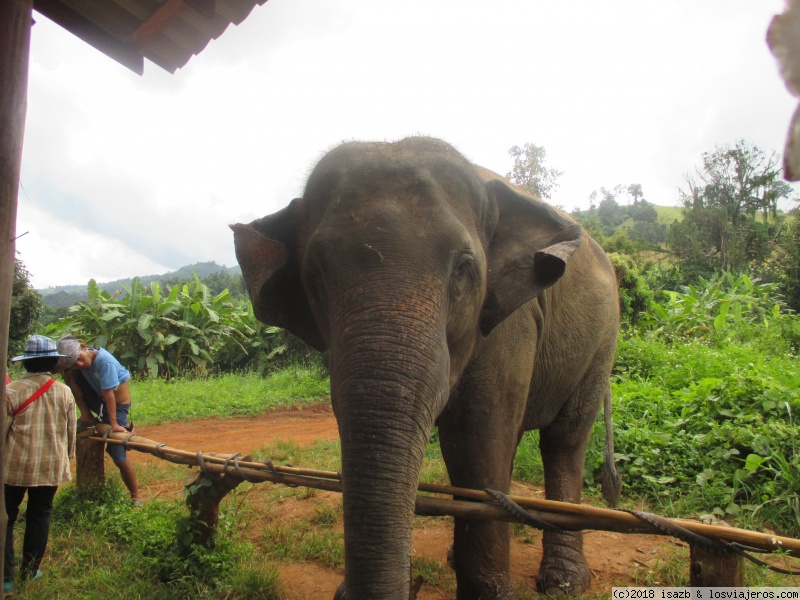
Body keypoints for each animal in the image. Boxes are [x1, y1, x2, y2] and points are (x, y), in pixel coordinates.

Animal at [230, 137, 620, 600]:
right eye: (315, 276)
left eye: (464, 270)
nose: (409, 582)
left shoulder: (510, 324)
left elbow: (476, 439)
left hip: (603, 339)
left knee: (564, 439)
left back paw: (563, 582)